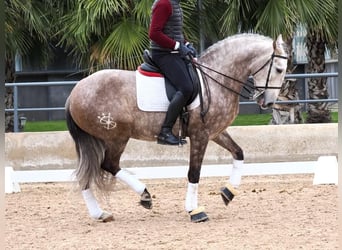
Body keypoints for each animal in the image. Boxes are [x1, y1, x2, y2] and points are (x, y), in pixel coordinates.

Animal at [65, 33, 288, 223]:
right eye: (279, 69)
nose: (268, 103)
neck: (217, 79)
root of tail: (75, 91)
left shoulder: (215, 133)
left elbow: (239, 153)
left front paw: (228, 192)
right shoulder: (200, 136)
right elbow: (194, 173)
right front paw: (195, 211)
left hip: (100, 139)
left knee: (89, 172)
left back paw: (101, 213)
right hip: (116, 136)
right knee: (108, 165)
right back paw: (143, 195)